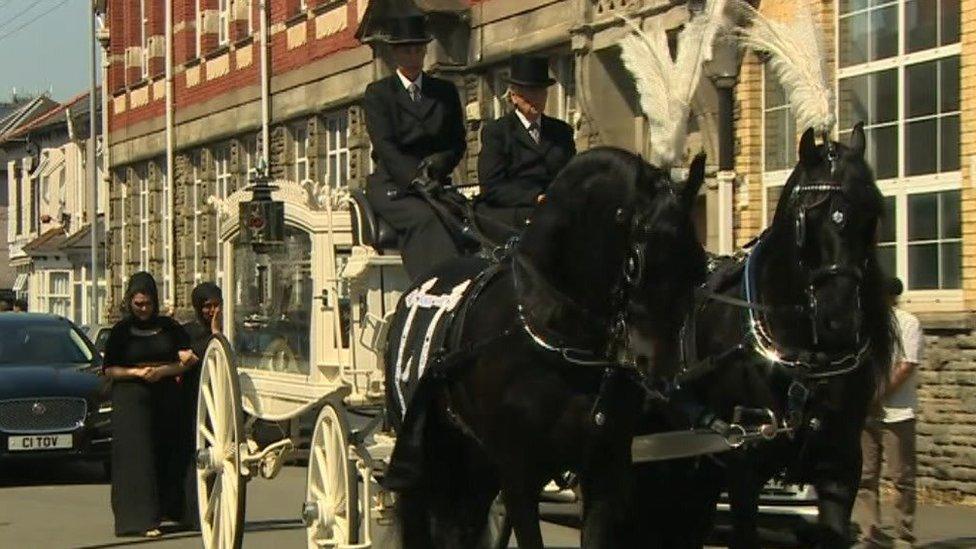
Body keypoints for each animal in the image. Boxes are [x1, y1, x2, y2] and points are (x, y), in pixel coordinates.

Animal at [386, 147, 712, 548]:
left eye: (698, 267)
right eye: (634, 263)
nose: (661, 370)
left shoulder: (604, 474)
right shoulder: (518, 478)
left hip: (475, 461)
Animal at [628, 124, 896, 548]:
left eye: (871, 215)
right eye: (808, 217)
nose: (838, 318)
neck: (806, 355)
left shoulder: (840, 465)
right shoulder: (743, 461)